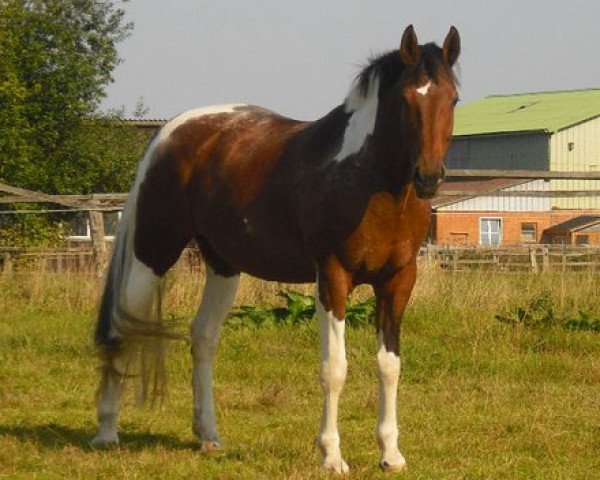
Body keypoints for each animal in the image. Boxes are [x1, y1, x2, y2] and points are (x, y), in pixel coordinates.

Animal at [91, 25, 462, 472]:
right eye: (407, 99)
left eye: (453, 99)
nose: (429, 176)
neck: (367, 181)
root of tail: (167, 133)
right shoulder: (332, 277)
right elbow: (334, 368)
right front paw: (331, 455)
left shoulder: (398, 280)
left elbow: (389, 366)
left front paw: (390, 454)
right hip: (154, 251)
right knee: (122, 326)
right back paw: (107, 431)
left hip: (223, 265)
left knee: (203, 337)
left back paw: (209, 436)